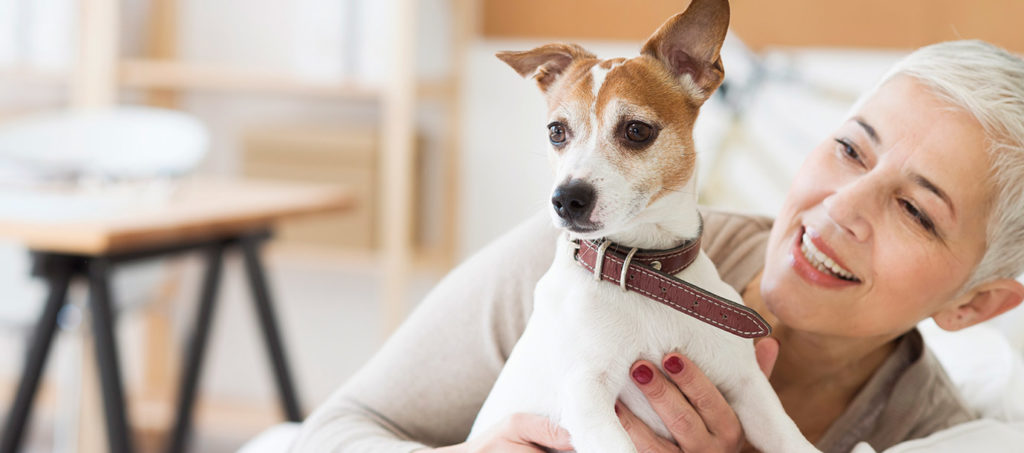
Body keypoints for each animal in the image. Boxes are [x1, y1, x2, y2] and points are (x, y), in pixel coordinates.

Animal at [468, 0, 819, 453]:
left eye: (636, 130)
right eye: (556, 132)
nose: (565, 199)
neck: (641, 270)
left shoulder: (748, 388)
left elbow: (790, 438)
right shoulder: (588, 402)